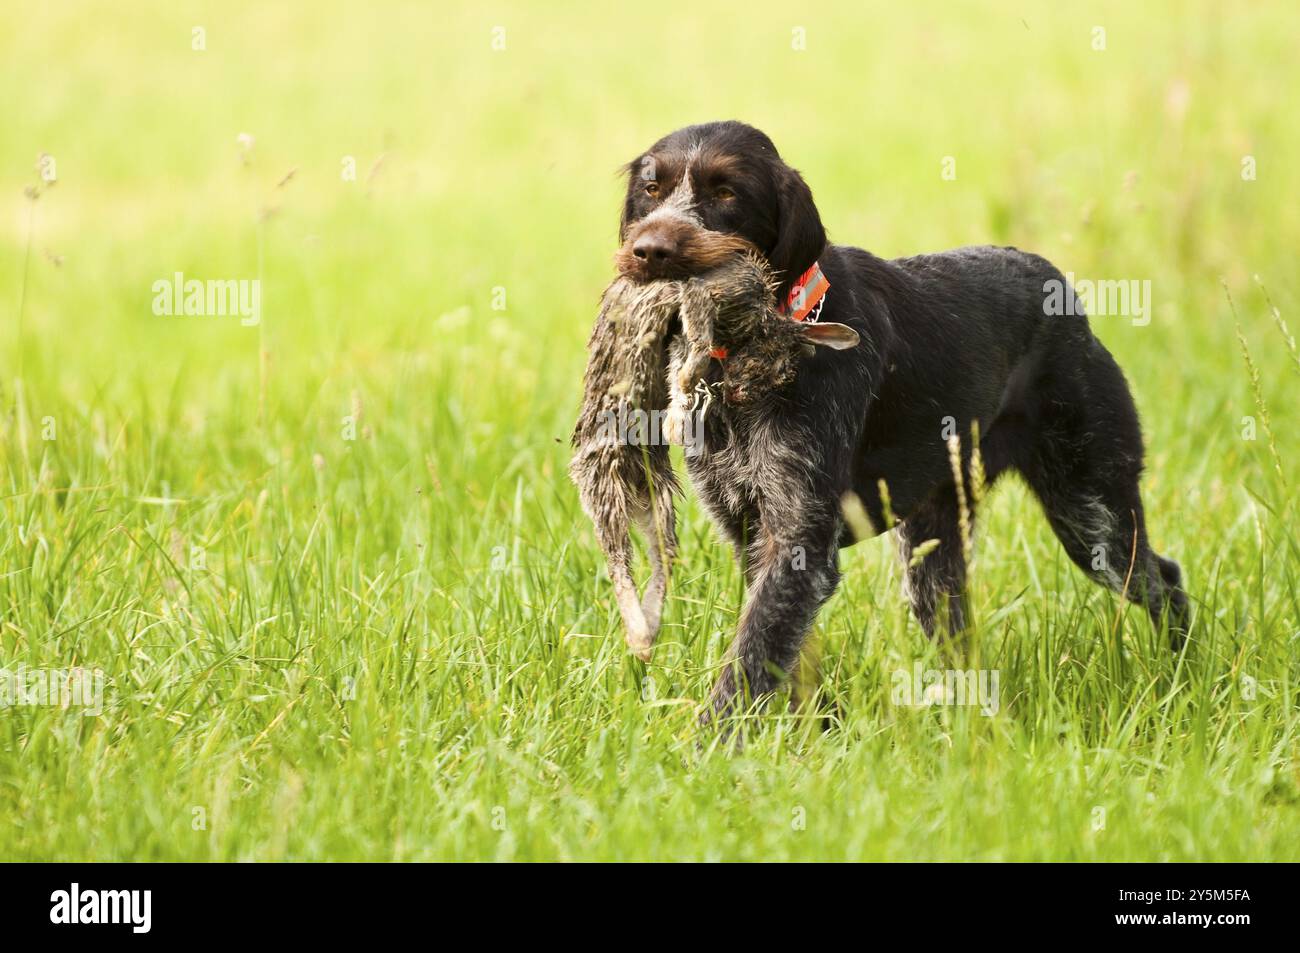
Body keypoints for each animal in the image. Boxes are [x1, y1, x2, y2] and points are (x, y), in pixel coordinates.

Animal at [608, 118, 1190, 722]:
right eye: (651, 189)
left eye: (726, 193)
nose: (650, 250)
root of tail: (1058, 285)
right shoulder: (751, 531)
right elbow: (783, 655)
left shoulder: (798, 538)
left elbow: (750, 658)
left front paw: (714, 739)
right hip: (935, 551)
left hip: (1091, 509)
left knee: (1162, 579)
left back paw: (1178, 676)